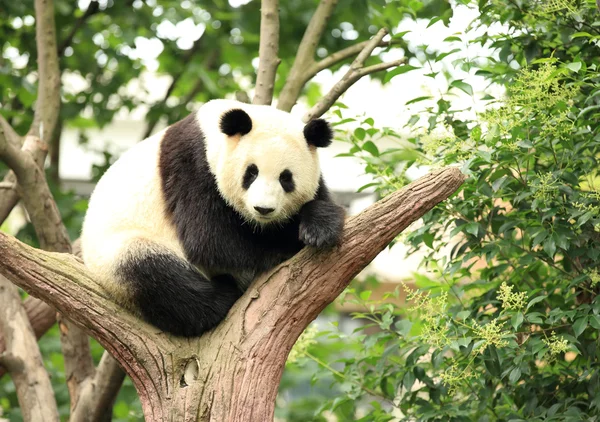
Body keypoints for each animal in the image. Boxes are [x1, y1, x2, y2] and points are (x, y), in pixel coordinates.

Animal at [82, 99, 350, 336]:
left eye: (286, 178)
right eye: (251, 173)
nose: (263, 209)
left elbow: (320, 200)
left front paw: (319, 227)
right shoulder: (191, 167)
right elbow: (209, 238)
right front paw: (284, 246)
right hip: (121, 252)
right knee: (157, 278)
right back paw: (222, 294)